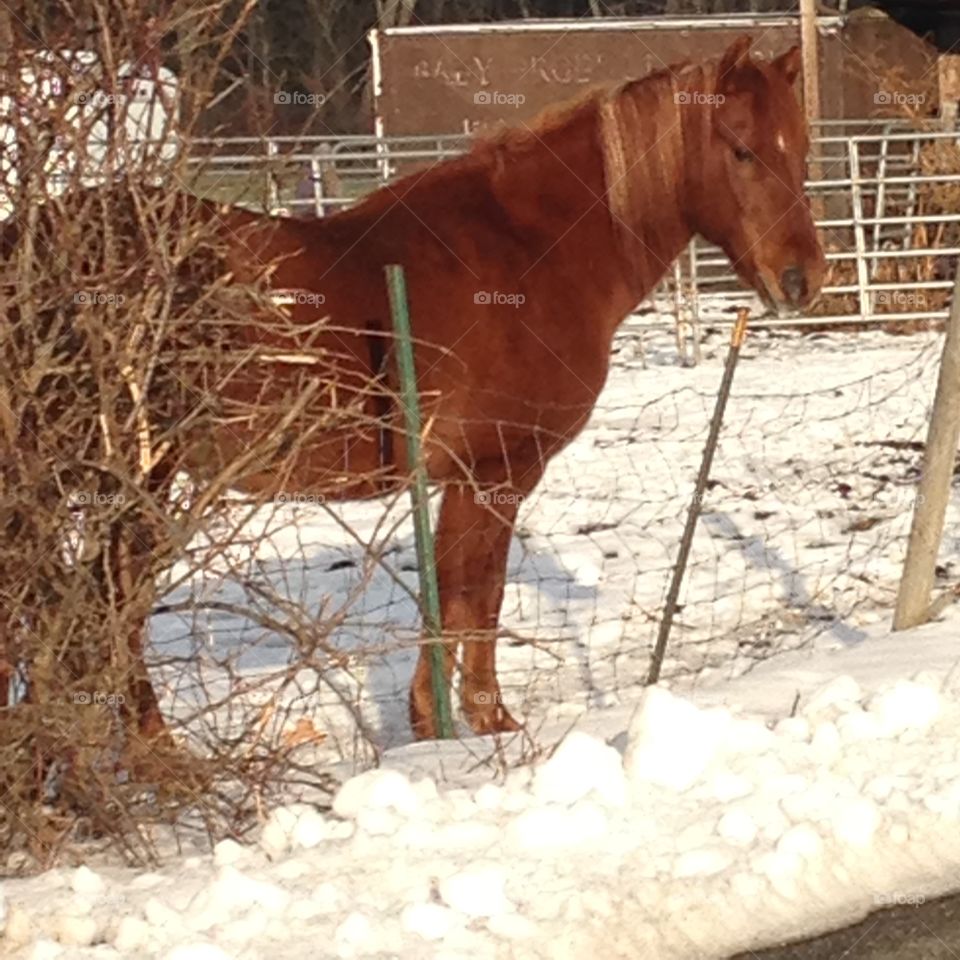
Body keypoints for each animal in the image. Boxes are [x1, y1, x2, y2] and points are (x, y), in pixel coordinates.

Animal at [2, 36, 824, 743]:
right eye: (741, 148)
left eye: (803, 147)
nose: (803, 280)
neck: (528, 253)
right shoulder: (499, 469)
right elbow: (476, 592)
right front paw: (484, 722)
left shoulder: (464, 475)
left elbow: (455, 590)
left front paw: (437, 723)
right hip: (134, 482)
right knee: (105, 606)